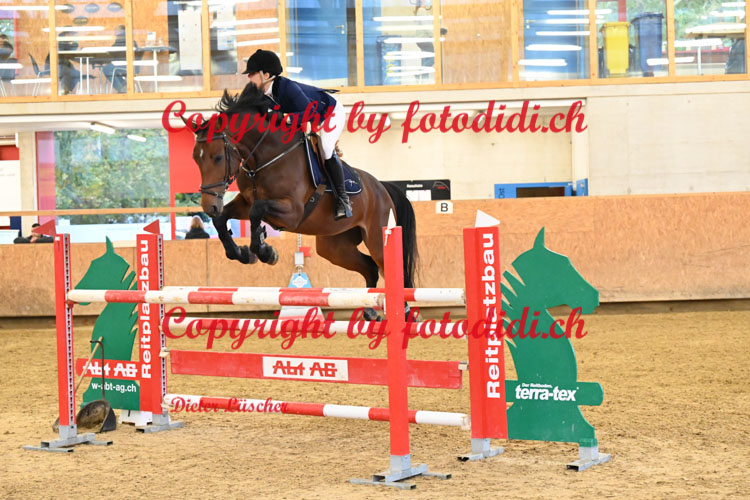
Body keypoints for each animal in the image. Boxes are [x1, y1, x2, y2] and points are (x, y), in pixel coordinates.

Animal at [185, 84, 417, 318]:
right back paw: (370, 310)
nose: (209, 206)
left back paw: (405, 312)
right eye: (195, 158)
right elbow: (223, 219)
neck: (265, 158)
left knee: (390, 270)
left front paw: (266, 252)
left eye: (217, 158)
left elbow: (257, 211)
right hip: (335, 247)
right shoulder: (245, 203)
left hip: (378, 237)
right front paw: (243, 253)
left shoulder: (293, 212)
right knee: (369, 267)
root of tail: (382, 187)